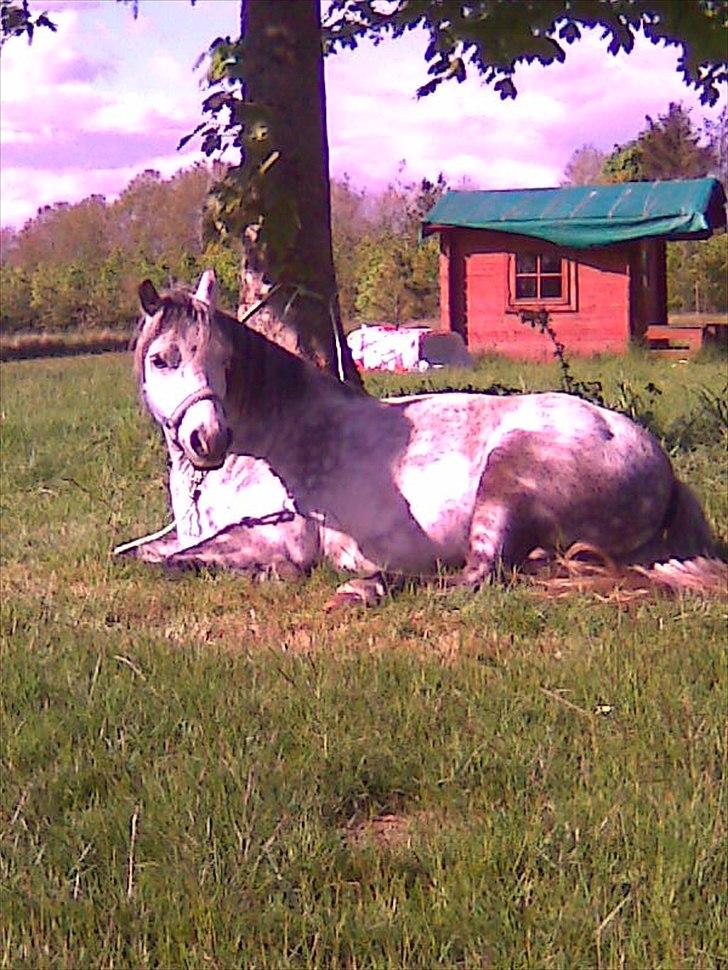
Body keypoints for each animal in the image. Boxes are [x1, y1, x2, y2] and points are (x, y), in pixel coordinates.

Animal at [116, 270, 724, 596]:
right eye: (163, 359)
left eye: (223, 360)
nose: (209, 440)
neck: (266, 444)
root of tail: (656, 461)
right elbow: (133, 553)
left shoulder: (279, 535)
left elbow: (169, 562)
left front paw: (275, 575)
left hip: (505, 484)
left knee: (474, 575)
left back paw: (364, 587)